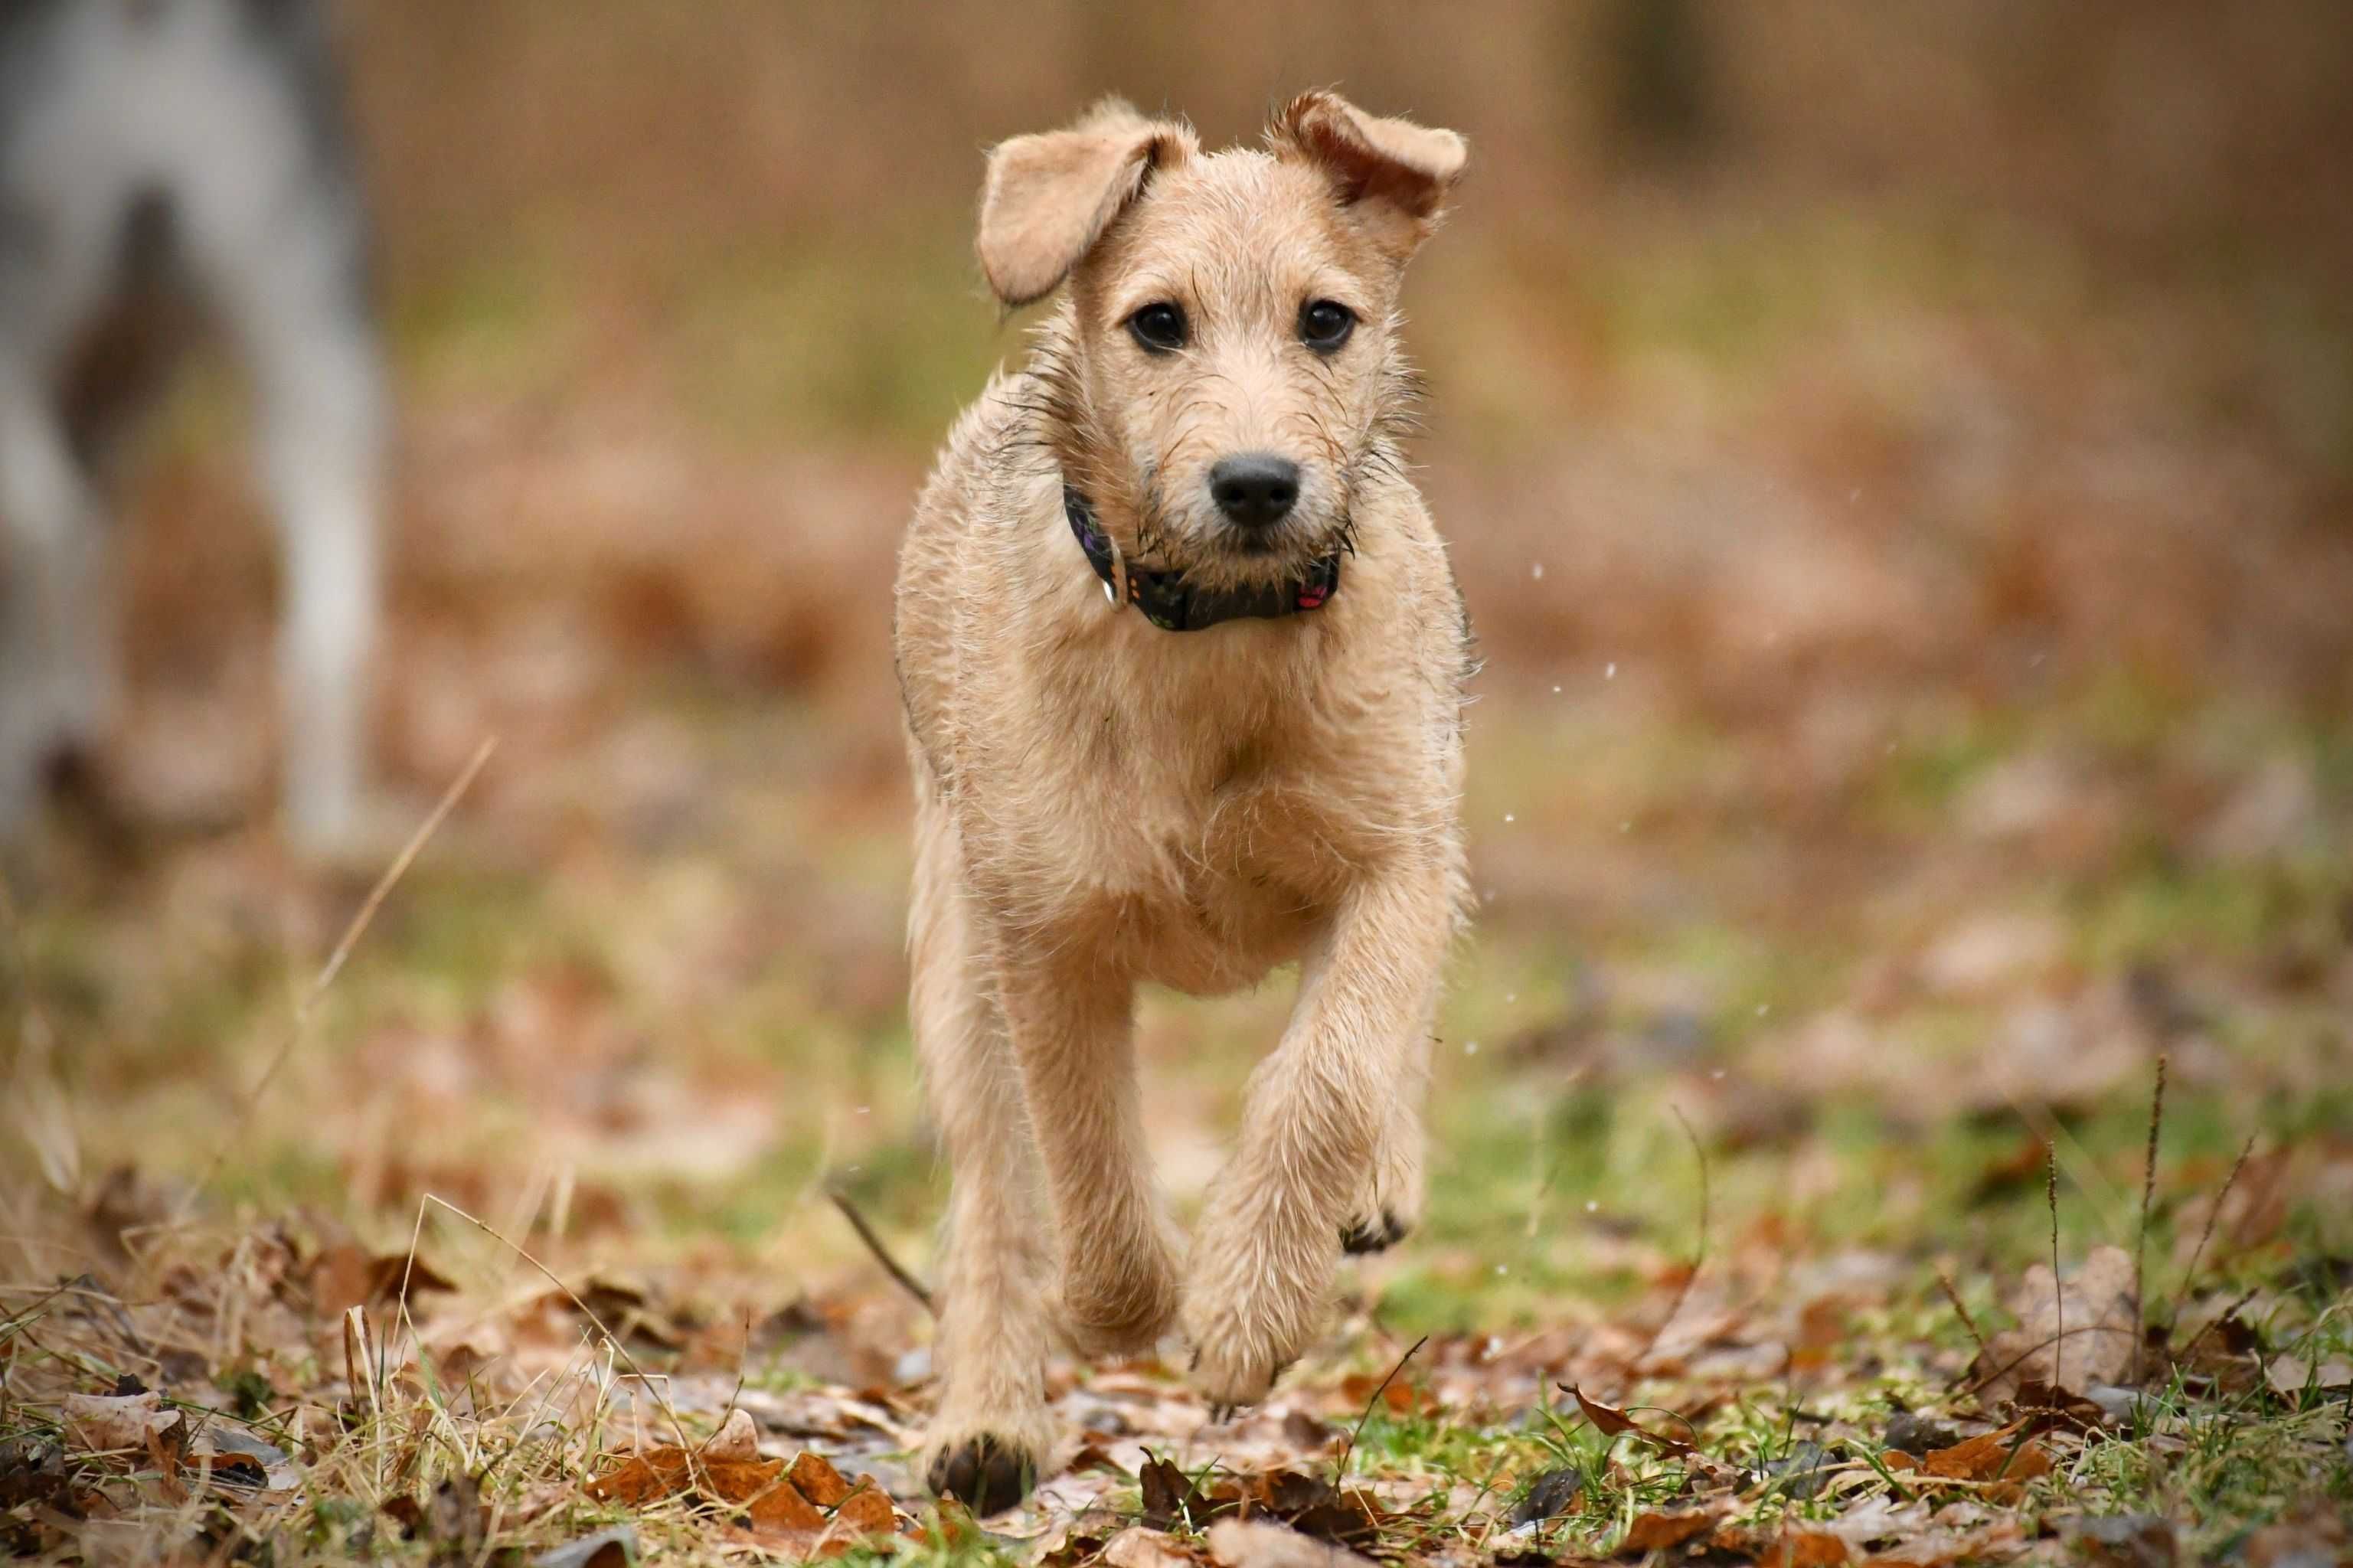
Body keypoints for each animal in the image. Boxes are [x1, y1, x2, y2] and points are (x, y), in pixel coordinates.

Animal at [889, 91, 1459, 1507]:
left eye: (1327, 320)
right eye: (1157, 323)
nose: (1255, 482)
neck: (1217, 634)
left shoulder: (1395, 858)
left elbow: (1330, 1071)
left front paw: (1249, 1309)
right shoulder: (1042, 932)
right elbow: (1081, 1145)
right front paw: (1124, 1304)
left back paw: (1372, 1185)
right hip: (950, 961)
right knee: (995, 1180)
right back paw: (988, 1420)